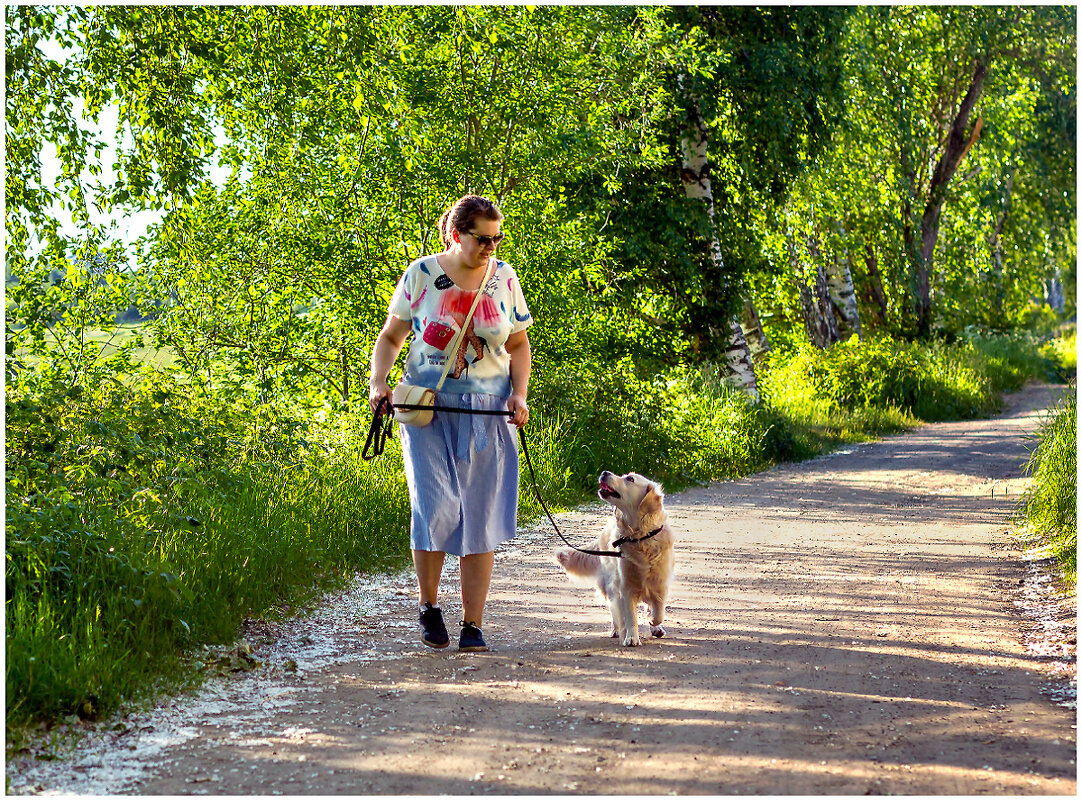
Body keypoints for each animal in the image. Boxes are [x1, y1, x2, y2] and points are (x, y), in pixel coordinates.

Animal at [553, 469, 670, 645]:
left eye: (630, 479)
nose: (604, 472)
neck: (639, 537)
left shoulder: (660, 582)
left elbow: (658, 611)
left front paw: (653, 622)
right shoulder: (626, 586)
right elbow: (630, 616)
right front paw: (631, 637)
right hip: (611, 583)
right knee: (615, 610)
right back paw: (616, 629)